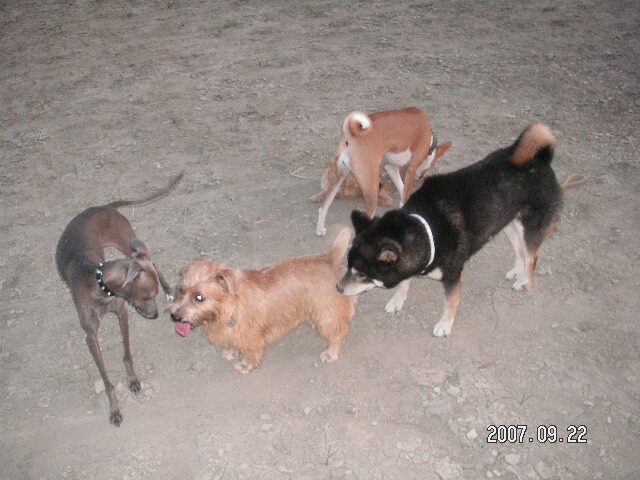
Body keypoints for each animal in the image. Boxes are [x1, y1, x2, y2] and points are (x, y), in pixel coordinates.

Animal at [56, 172, 182, 426]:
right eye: (145, 295)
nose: (155, 316)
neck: (99, 283)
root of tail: (103, 207)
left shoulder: (122, 313)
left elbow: (127, 354)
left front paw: (132, 379)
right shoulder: (91, 336)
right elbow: (106, 380)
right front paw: (114, 408)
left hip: (129, 243)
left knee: (154, 262)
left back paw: (169, 289)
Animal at [168, 228, 355, 373]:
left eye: (199, 297)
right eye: (180, 290)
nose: (175, 317)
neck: (228, 307)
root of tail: (329, 258)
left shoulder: (250, 338)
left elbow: (251, 353)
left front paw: (245, 365)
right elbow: (232, 344)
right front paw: (230, 353)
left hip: (327, 316)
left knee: (339, 333)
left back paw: (331, 353)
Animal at [310, 107, 451, 236]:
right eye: (426, 170)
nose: (420, 177)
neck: (430, 141)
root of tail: (350, 136)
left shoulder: (391, 167)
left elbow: (402, 191)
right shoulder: (411, 169)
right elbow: (405, 193)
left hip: (339, 177)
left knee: (323, 207)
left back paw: (320, 230)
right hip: (372, 190)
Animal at [337, 122, 568, 337]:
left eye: (361, 274)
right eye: (348, 267)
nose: (338, 288)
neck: (427, 229)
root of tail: (541, 159)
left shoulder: (453, 276)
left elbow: (450, 303)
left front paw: (444, 325)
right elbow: (404, 283)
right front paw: (397, 301)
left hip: (530, 226)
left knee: (531, 256)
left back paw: (524, 280)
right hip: (507, 223)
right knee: (520, 251)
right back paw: (516, 272)